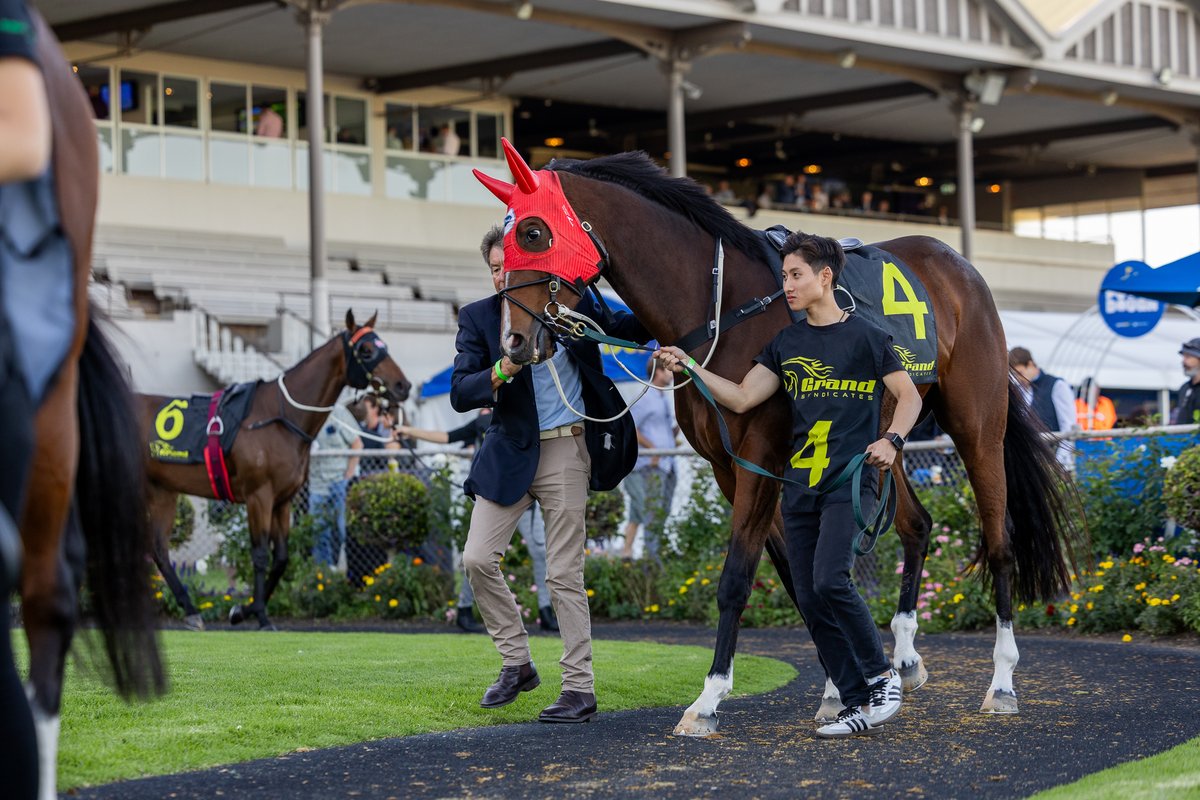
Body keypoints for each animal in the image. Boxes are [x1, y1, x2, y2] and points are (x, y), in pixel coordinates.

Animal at [143, 311, 411, 631]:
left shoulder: (283, 500)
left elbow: (281, 558)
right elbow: (260, 555)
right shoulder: (259, 496)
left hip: (162, 492)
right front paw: (259, 614)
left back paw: (191, 610)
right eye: (367, 350)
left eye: (385, 346)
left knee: (158, 549)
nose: (403, 385)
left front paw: (242, 610)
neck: (279, 417)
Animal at [476, 140, 1083, 735]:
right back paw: (907, 658)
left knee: (1000, 541)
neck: (723, 309)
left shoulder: (760, 455)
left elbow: (738, 578)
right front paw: (839, 689)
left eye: (533, 232)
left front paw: (708, 700)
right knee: (916, 524)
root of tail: (959, 266)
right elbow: (797, 576)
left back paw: (1001, 683)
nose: (514, 341)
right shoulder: (731, 466)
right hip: (884, 441)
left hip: (977, 425)